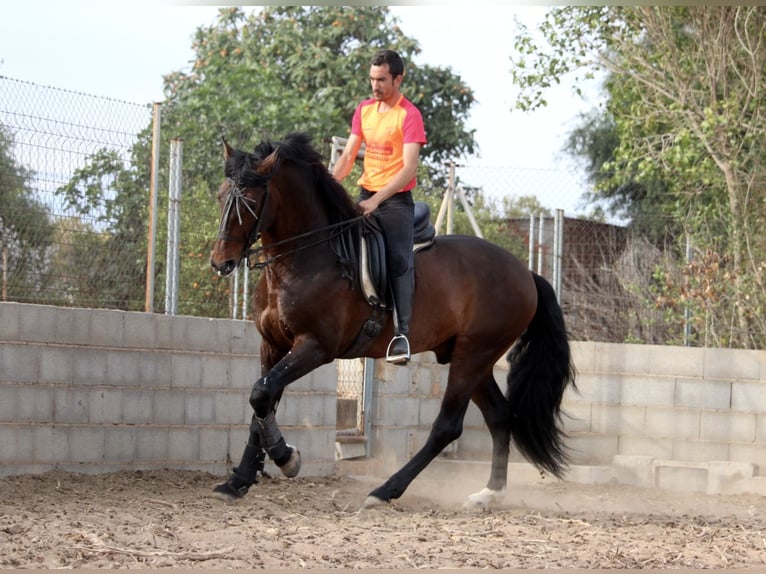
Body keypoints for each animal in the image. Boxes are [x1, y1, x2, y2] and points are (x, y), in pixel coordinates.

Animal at [210, 133, 576, 510]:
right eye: (222, 195)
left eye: (250, 202)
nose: (221, 262)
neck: (305, 258)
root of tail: (526, 273)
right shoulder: (272, 345)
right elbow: (261, 402)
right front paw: (238, 480)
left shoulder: (315, 347)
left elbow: (262, 393)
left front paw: (287, 458)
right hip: (471, 357)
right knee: (500, 416)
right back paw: (489, 493)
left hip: (473, 355)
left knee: (448, 426)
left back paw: (385, 490)